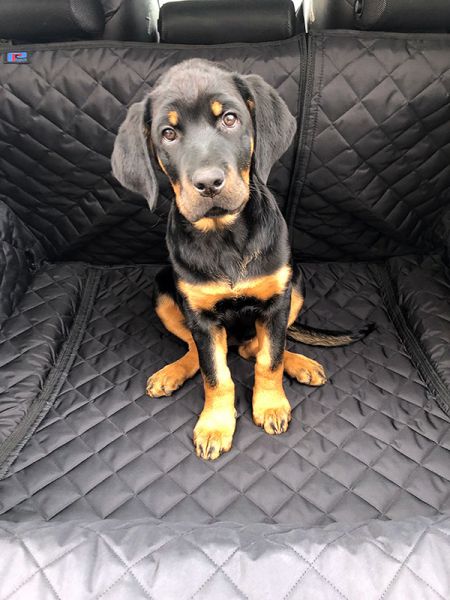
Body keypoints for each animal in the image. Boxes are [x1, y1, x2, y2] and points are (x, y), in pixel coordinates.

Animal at [111, 59, 370, 460]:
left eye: (230, 119)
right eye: (168, 134)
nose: (208, 183)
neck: (224, 236)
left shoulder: (277, 300)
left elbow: (269, 358)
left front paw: (271, 405)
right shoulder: (201, 317)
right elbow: (215, 374)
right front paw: (216, 426)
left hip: (297, 284)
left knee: (255, 346)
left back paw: (301, 363)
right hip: (163, 293)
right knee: (196, 349)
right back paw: (173, 371)